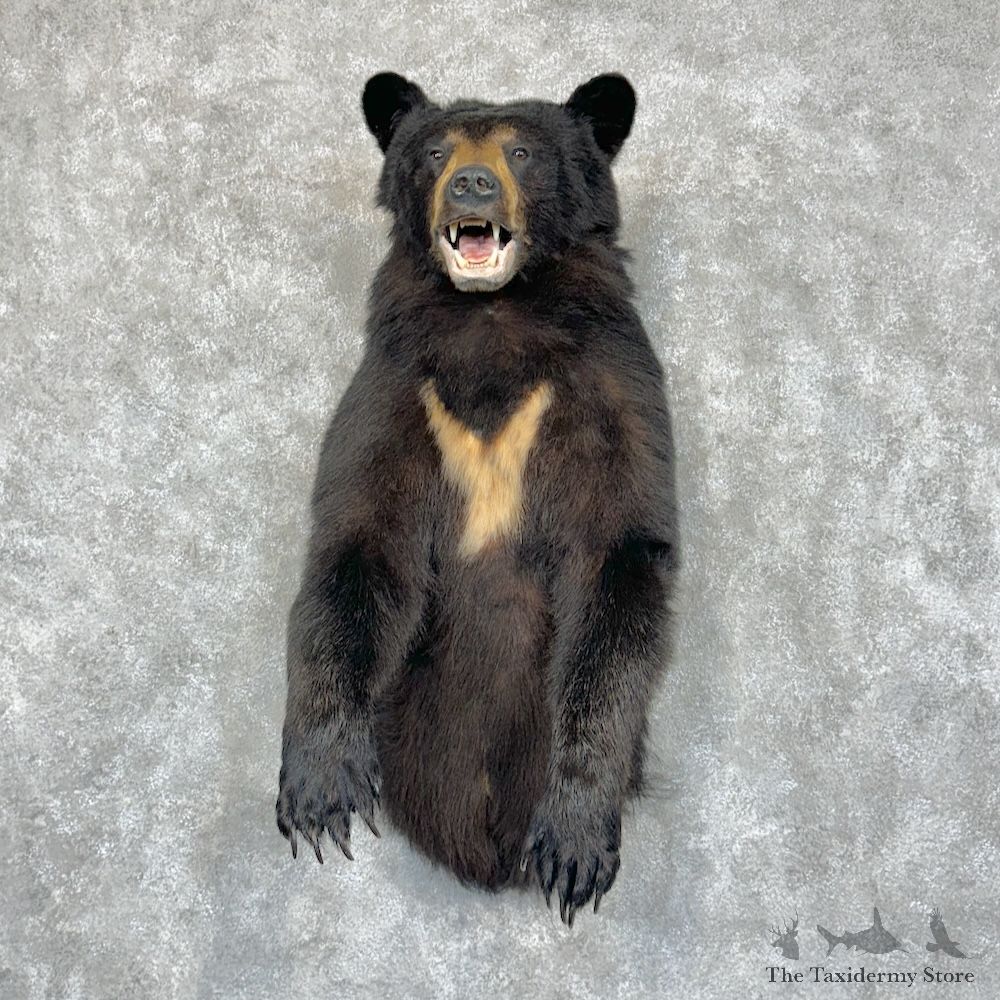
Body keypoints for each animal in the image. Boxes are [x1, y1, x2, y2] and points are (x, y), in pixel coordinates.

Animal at [276, 71, 679, 926]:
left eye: (521, 152)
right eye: (434, 152)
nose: (471, 185)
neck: (492, 316)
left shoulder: (609, 383)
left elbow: (622, 549)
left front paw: (575, 838)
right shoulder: (398, 385)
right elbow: (357, 538)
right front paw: (321, 783)